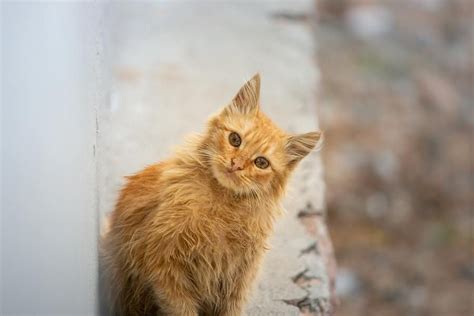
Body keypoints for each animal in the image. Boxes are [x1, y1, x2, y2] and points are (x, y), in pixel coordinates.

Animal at [101, 74, 320, 316]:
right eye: (235, 139)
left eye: (261, 163)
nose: (236, 164)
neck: (223, 204)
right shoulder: (166, 267)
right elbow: (183, 310)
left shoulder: (237, 279)